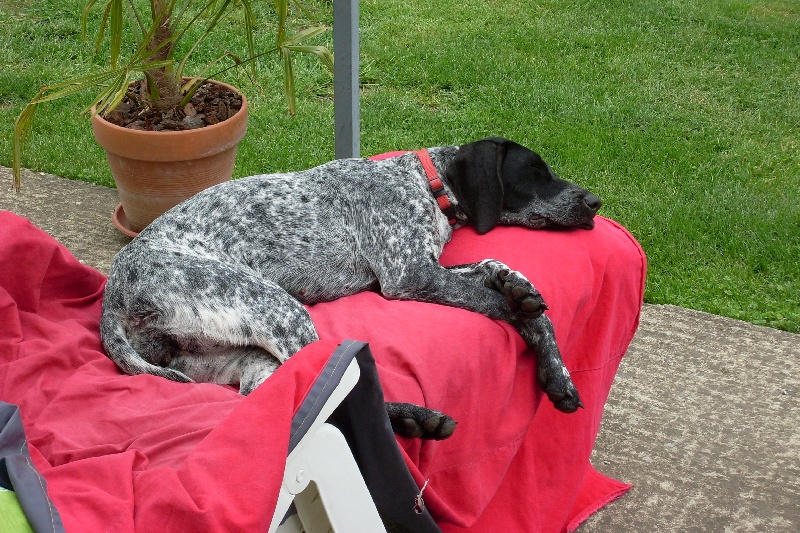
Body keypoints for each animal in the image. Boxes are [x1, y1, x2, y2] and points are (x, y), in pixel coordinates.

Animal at [100, 137, 600, 440]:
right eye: (535, 172)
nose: (595, 201)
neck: (423, 181)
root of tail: (112, 297)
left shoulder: (425, 269)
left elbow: (506, 277)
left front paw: (555, 368)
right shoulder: (409, 275)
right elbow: (503, 306)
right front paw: (516, 306)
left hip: (243, 357)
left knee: (279, 398)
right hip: (279, 309)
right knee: (329, 388)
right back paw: (415, 418)